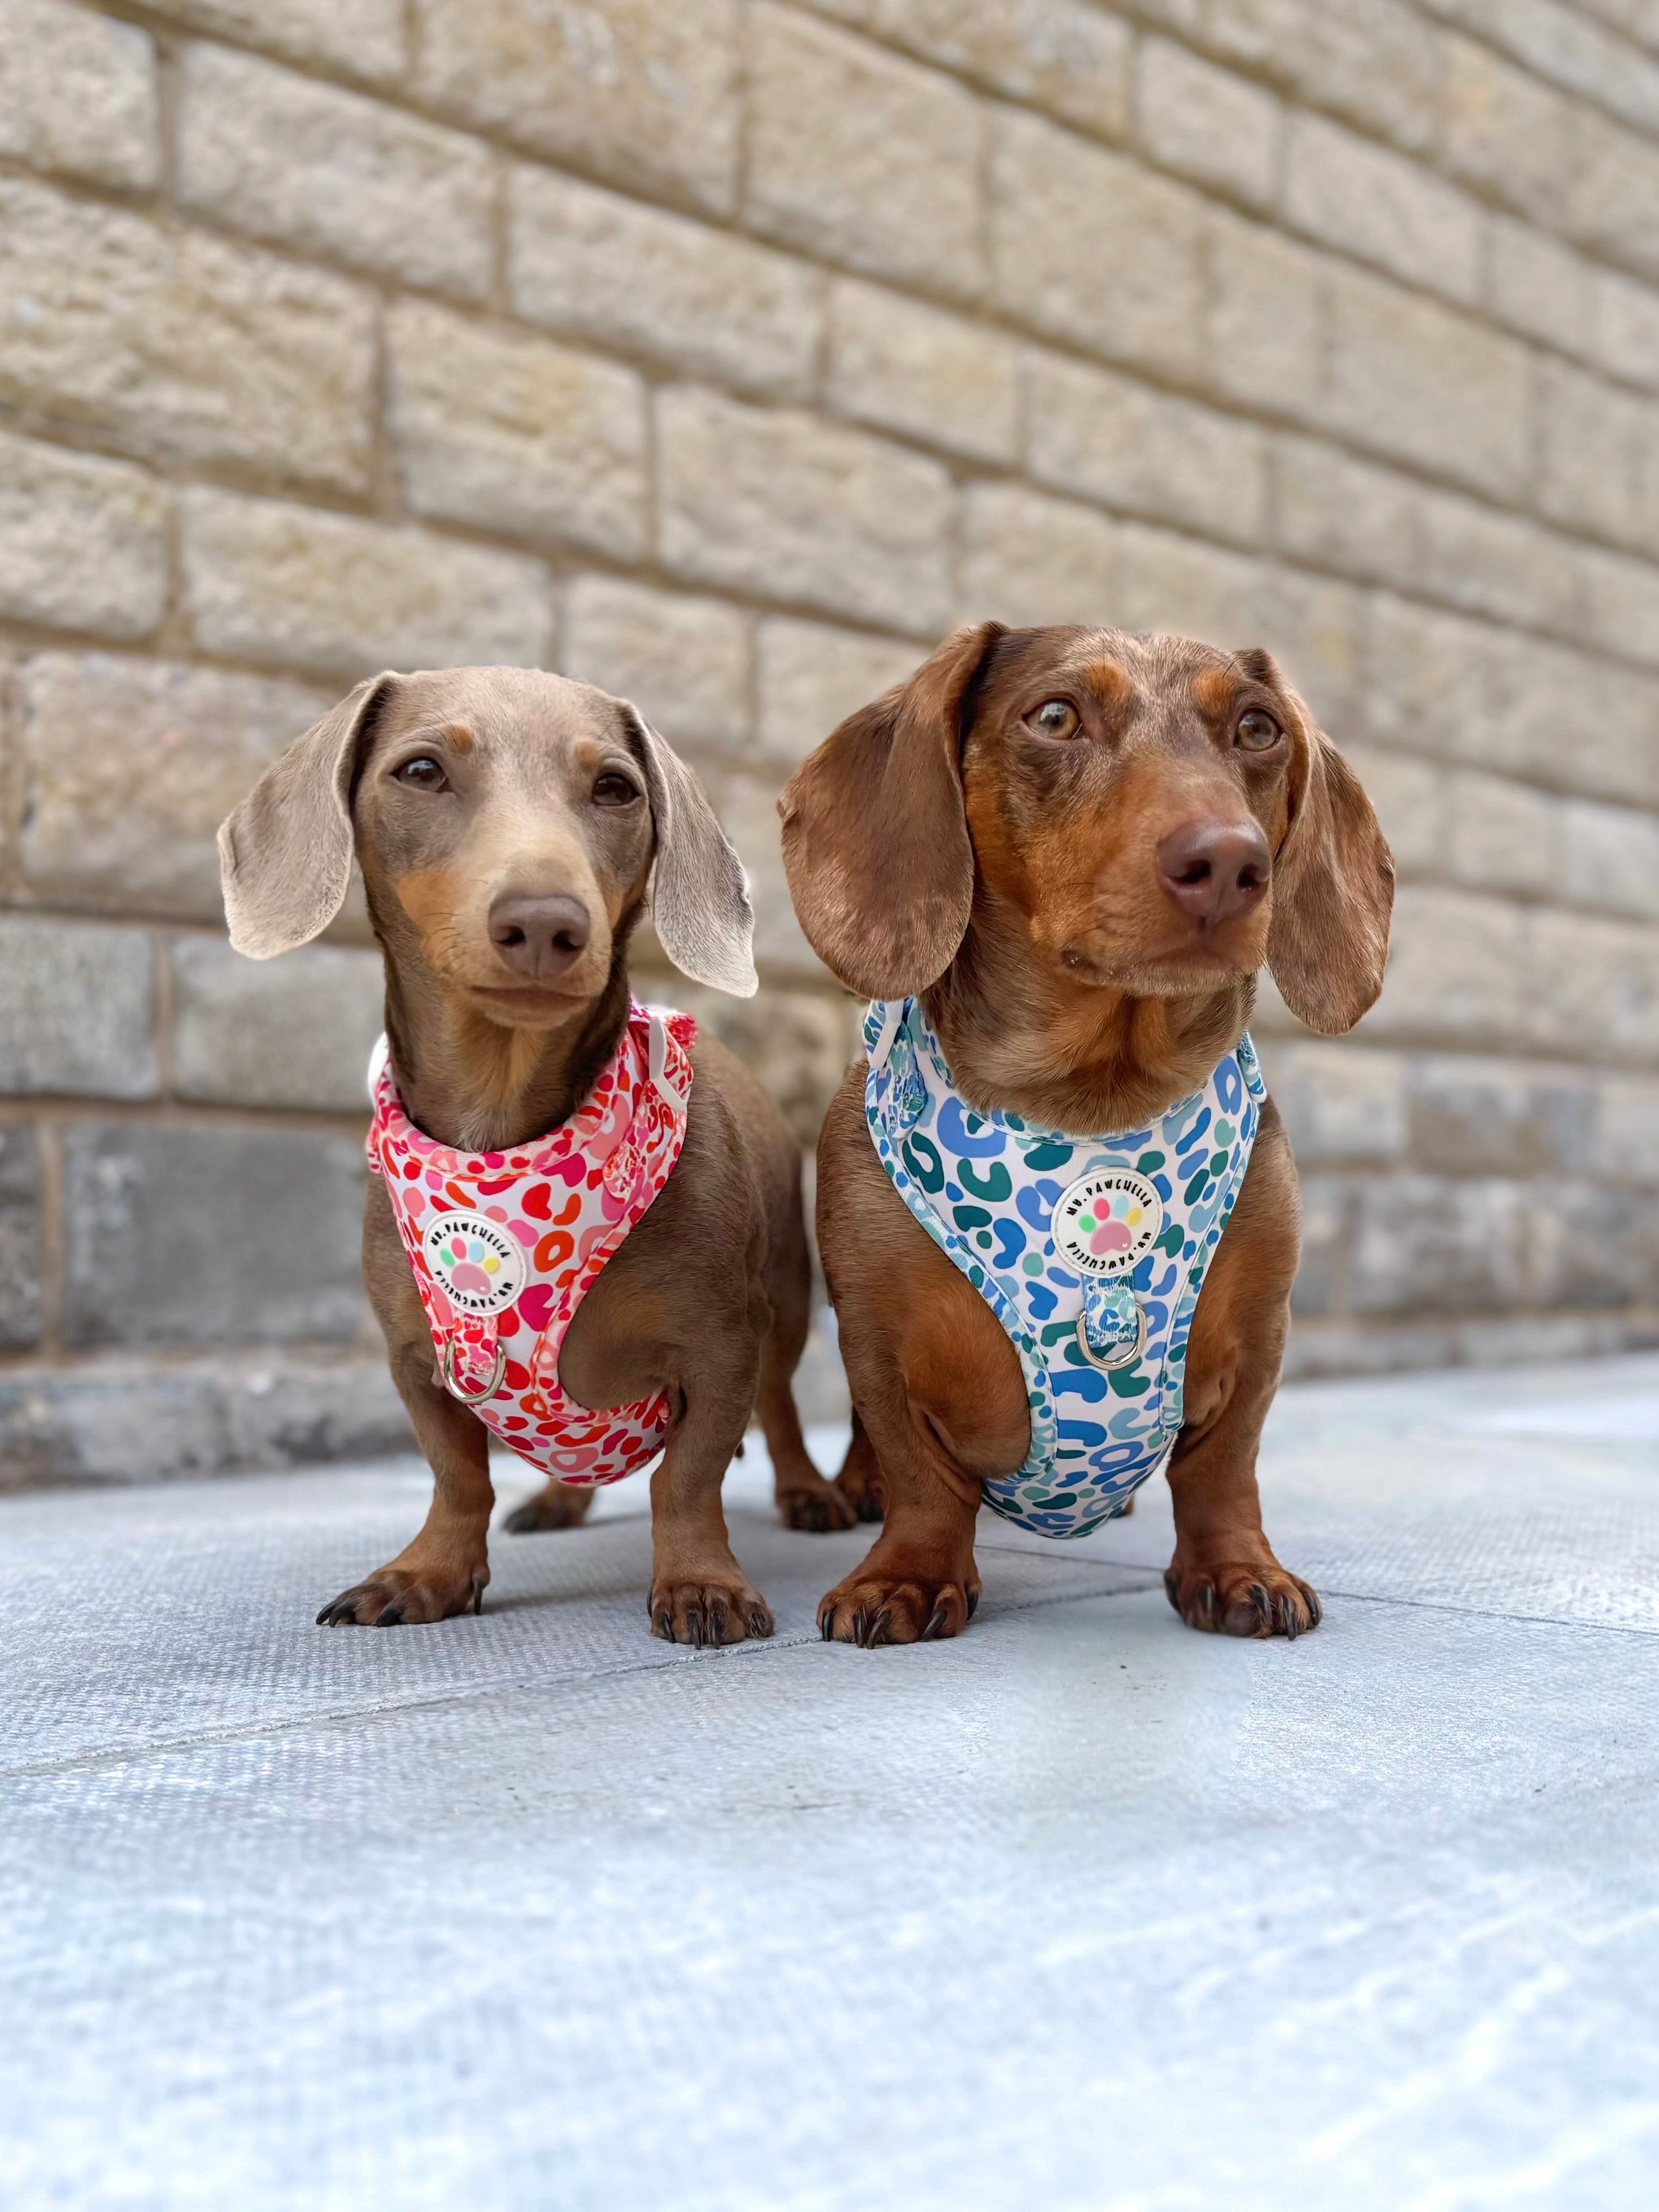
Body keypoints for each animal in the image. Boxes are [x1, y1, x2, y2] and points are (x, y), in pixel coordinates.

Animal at [219, 666, 850, 1639]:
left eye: (617, 789)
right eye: (422, 770)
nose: (548, 923)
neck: (504, 1142)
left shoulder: (721, 1346)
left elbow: (688, 1478)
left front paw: (700, 1581)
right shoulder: (420, 1363)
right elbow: (456, 1479)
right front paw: (428, 1572)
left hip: (783, 1297)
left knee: (779, 1410)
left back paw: (808, 1492)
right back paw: (559, 1499)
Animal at [779, 624, 1393, 1646]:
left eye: (1257, 728)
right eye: (1058, 716)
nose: (1230, 866)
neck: (1090, 1109)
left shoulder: (1259, 1331)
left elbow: (1224, 1469)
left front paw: (1238, 1568)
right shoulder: (875, 1332)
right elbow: (917, 1469)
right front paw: (906, 1573)